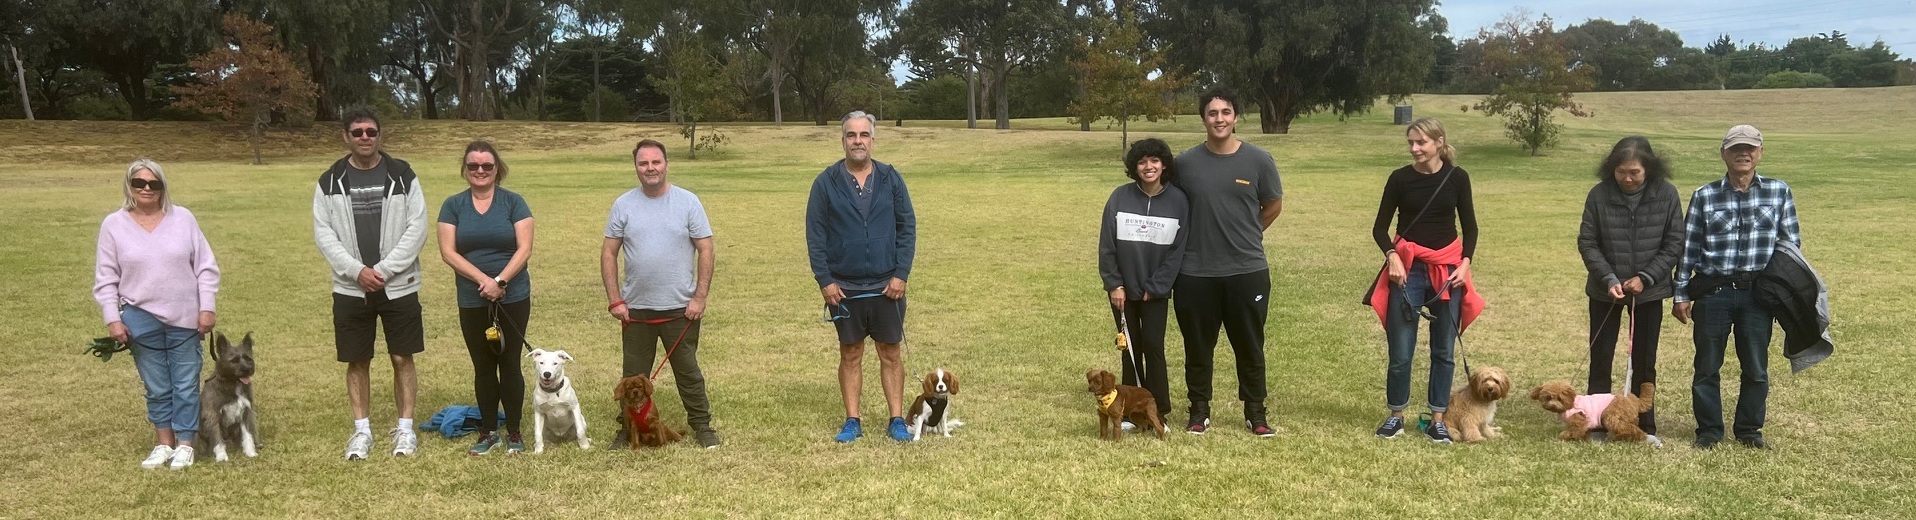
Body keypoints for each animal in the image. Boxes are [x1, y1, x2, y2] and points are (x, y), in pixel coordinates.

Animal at [195, 332, 258, 463]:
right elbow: (217, 438)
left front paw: (250, 452)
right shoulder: (213, 415)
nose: (247, 370)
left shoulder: (245, 413)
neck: (232, 384)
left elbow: (248, 435)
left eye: (248, 358)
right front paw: (221, 456)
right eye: (234, 360)